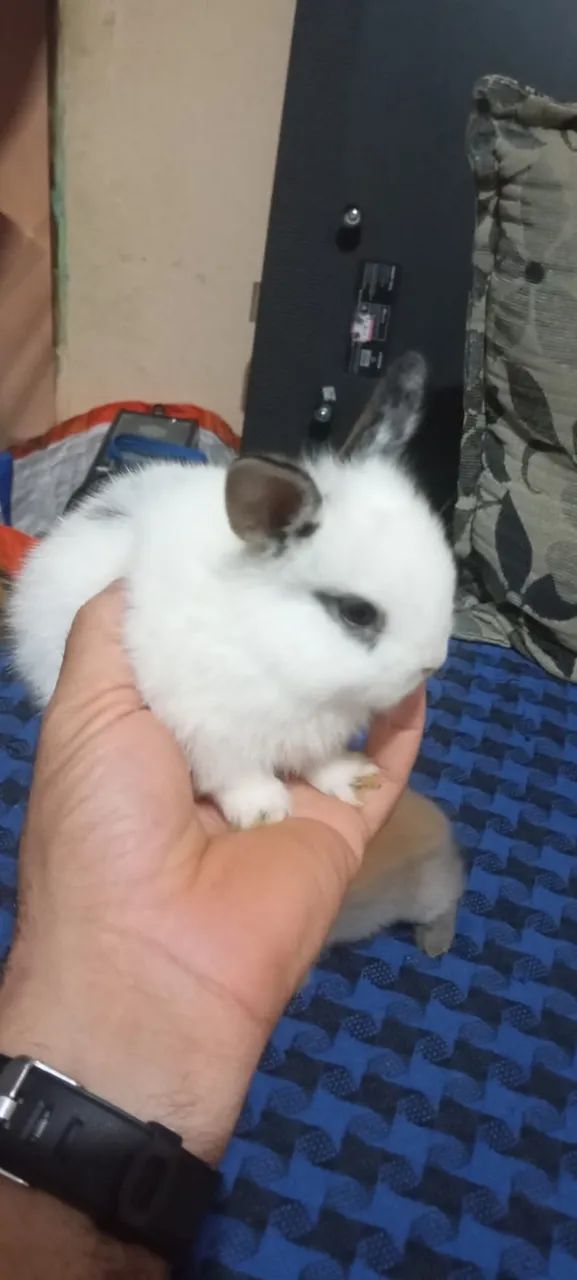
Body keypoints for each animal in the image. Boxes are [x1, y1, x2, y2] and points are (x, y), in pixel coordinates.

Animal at [8, 351, 456, 831]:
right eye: (357, 613)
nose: (431, 665)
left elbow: (320, 761)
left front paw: (352, 778)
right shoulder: (211, 733)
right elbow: (236, 775)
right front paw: (264, 812)